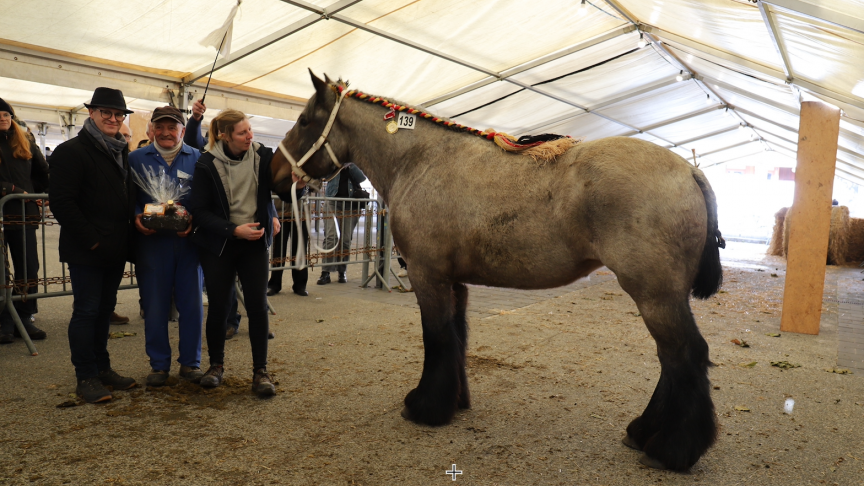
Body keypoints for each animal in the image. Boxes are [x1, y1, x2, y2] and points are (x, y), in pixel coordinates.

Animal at [274, 72, 724, 470]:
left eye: (304, 120)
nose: (276, 176)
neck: (420, 161)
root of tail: (690, 170)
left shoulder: (427, 275)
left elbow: (436, 338)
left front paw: (425, 407)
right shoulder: (453, 281)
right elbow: (456, 338)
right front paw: (454, 402)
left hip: (654, 293)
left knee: (685, 355)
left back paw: (672, 449)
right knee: (671, 359)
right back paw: (643, 431)